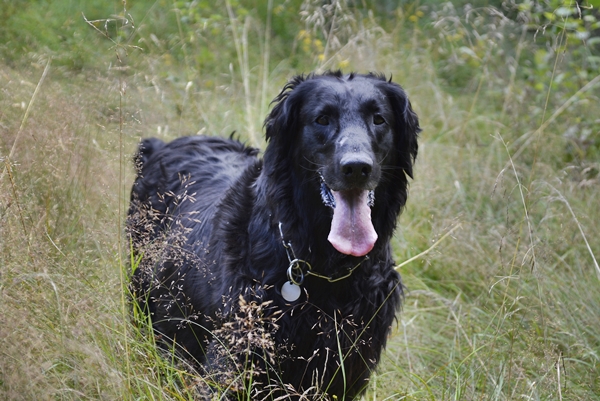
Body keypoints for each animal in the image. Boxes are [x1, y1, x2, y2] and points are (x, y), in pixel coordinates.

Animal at [127, 70, 418, 398]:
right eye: (322, 119)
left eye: (379, 119)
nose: (357, 168)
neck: (323, 265)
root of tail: (160, 145)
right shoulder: (235, 355)